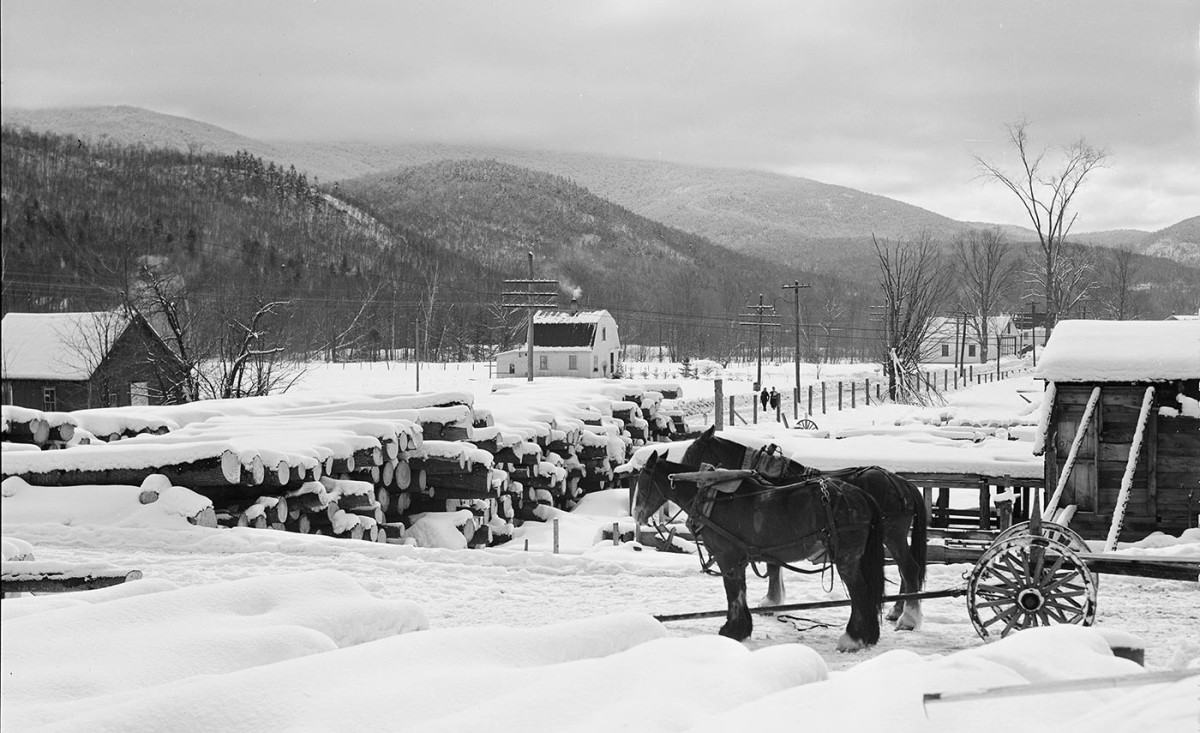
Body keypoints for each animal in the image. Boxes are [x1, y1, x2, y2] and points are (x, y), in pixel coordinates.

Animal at [634, 450, 886, 651]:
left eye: (643, 480)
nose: (637, 514)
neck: (711, 498)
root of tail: (861, 495)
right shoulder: (738, 559)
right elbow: (740, 592)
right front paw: (741, 628)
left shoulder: (727, 558)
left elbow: (733, 593)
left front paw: (733, 630)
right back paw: (868, 636)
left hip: (846, 559)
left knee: (860, 592)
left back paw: (854, 638)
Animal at [682, 425, 928, 631]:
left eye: (692, 455)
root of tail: (902, 483)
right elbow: (774, 566)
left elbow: (773, 567)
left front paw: (770, 601)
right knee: (905, 569)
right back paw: (897, 610)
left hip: (893, 534)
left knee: (909, 568)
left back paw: (907, 617)